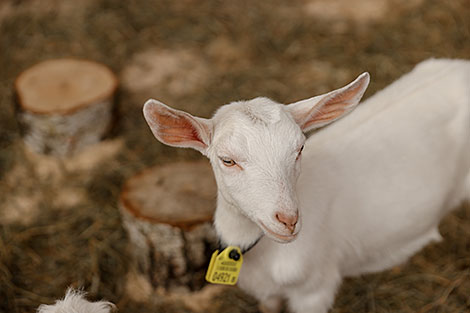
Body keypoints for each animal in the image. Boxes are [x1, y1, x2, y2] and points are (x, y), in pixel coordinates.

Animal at [143, 59, 470, 312]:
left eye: (300, 148)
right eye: (227, 160)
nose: (288, 220)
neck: (265, 253)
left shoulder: (315, 289)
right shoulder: (267, 294)